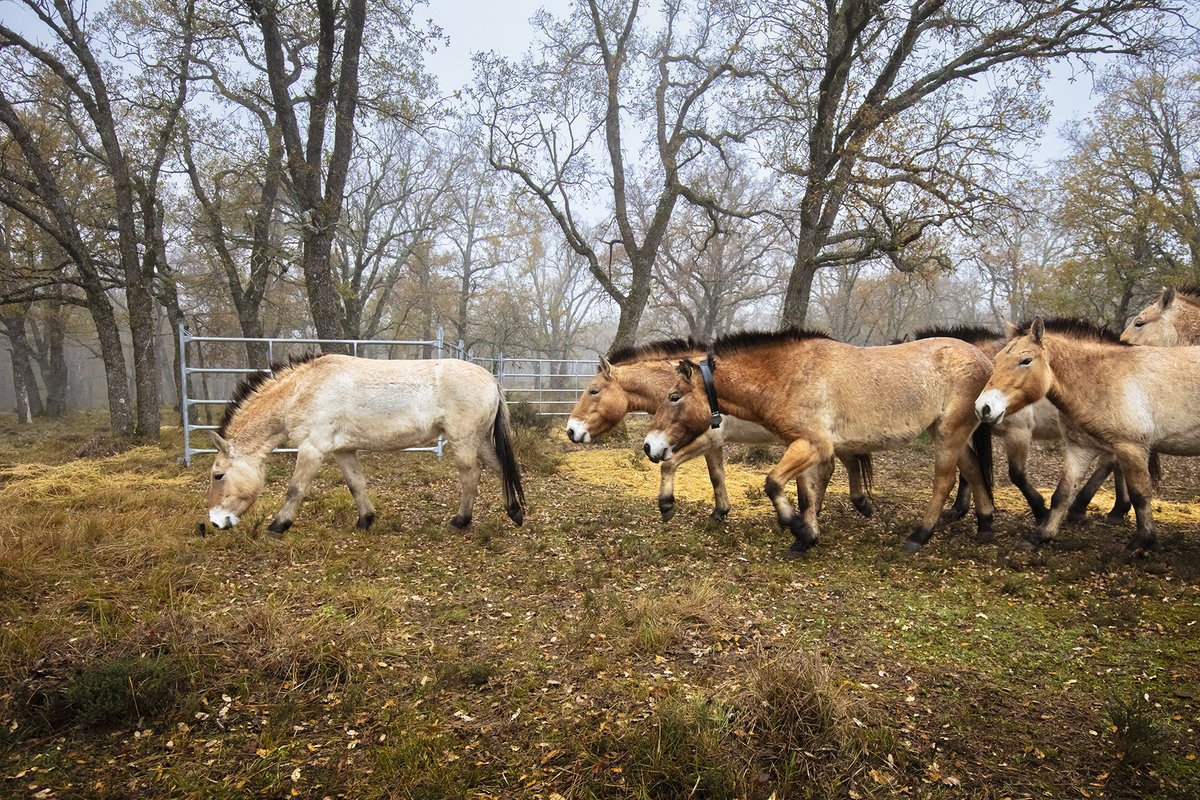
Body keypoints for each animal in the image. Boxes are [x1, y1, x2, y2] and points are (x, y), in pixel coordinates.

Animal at [207, 352, 525, 534]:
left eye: (218, 475)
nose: (214, 522)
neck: (303, 389)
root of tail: (491, 380)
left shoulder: (312, 449)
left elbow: (295, 489)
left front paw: (278, 525)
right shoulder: (343, 450)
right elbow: (356, 485)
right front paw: (365, 521)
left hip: (464, 441)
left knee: (471, 476)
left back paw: (461, 521)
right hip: (480, 440)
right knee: (501, 469)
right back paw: (515, 512)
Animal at [566, 340, 878, 522]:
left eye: (594, 391)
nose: (571, 430)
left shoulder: (704, 440)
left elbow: (669, 464)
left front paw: (668, 505)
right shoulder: (714, 443)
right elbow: (716, 475)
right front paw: (720, 512)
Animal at [648, 328, 993, 554]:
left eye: (674, 396)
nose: (650, 446)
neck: (790, 375)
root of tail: (985, 361)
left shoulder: (815, 445)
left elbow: (774, 483)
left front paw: (799, 529)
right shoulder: (802, 446)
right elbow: (807, 494)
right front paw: (805, 537)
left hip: (949, 433)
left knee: (945, 481)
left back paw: (918, 537)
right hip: (945, 432)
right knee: (973, 469)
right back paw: (985, 524)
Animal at [974, 316, 1200, 551]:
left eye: (1026, 360)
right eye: (996, 360)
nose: (983, 407)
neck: (1105, 376)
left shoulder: (1131, 448)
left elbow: (1141, 495)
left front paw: (1141, 541)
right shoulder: (1079, 449)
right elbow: (1062, 494)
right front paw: (1040, 536)